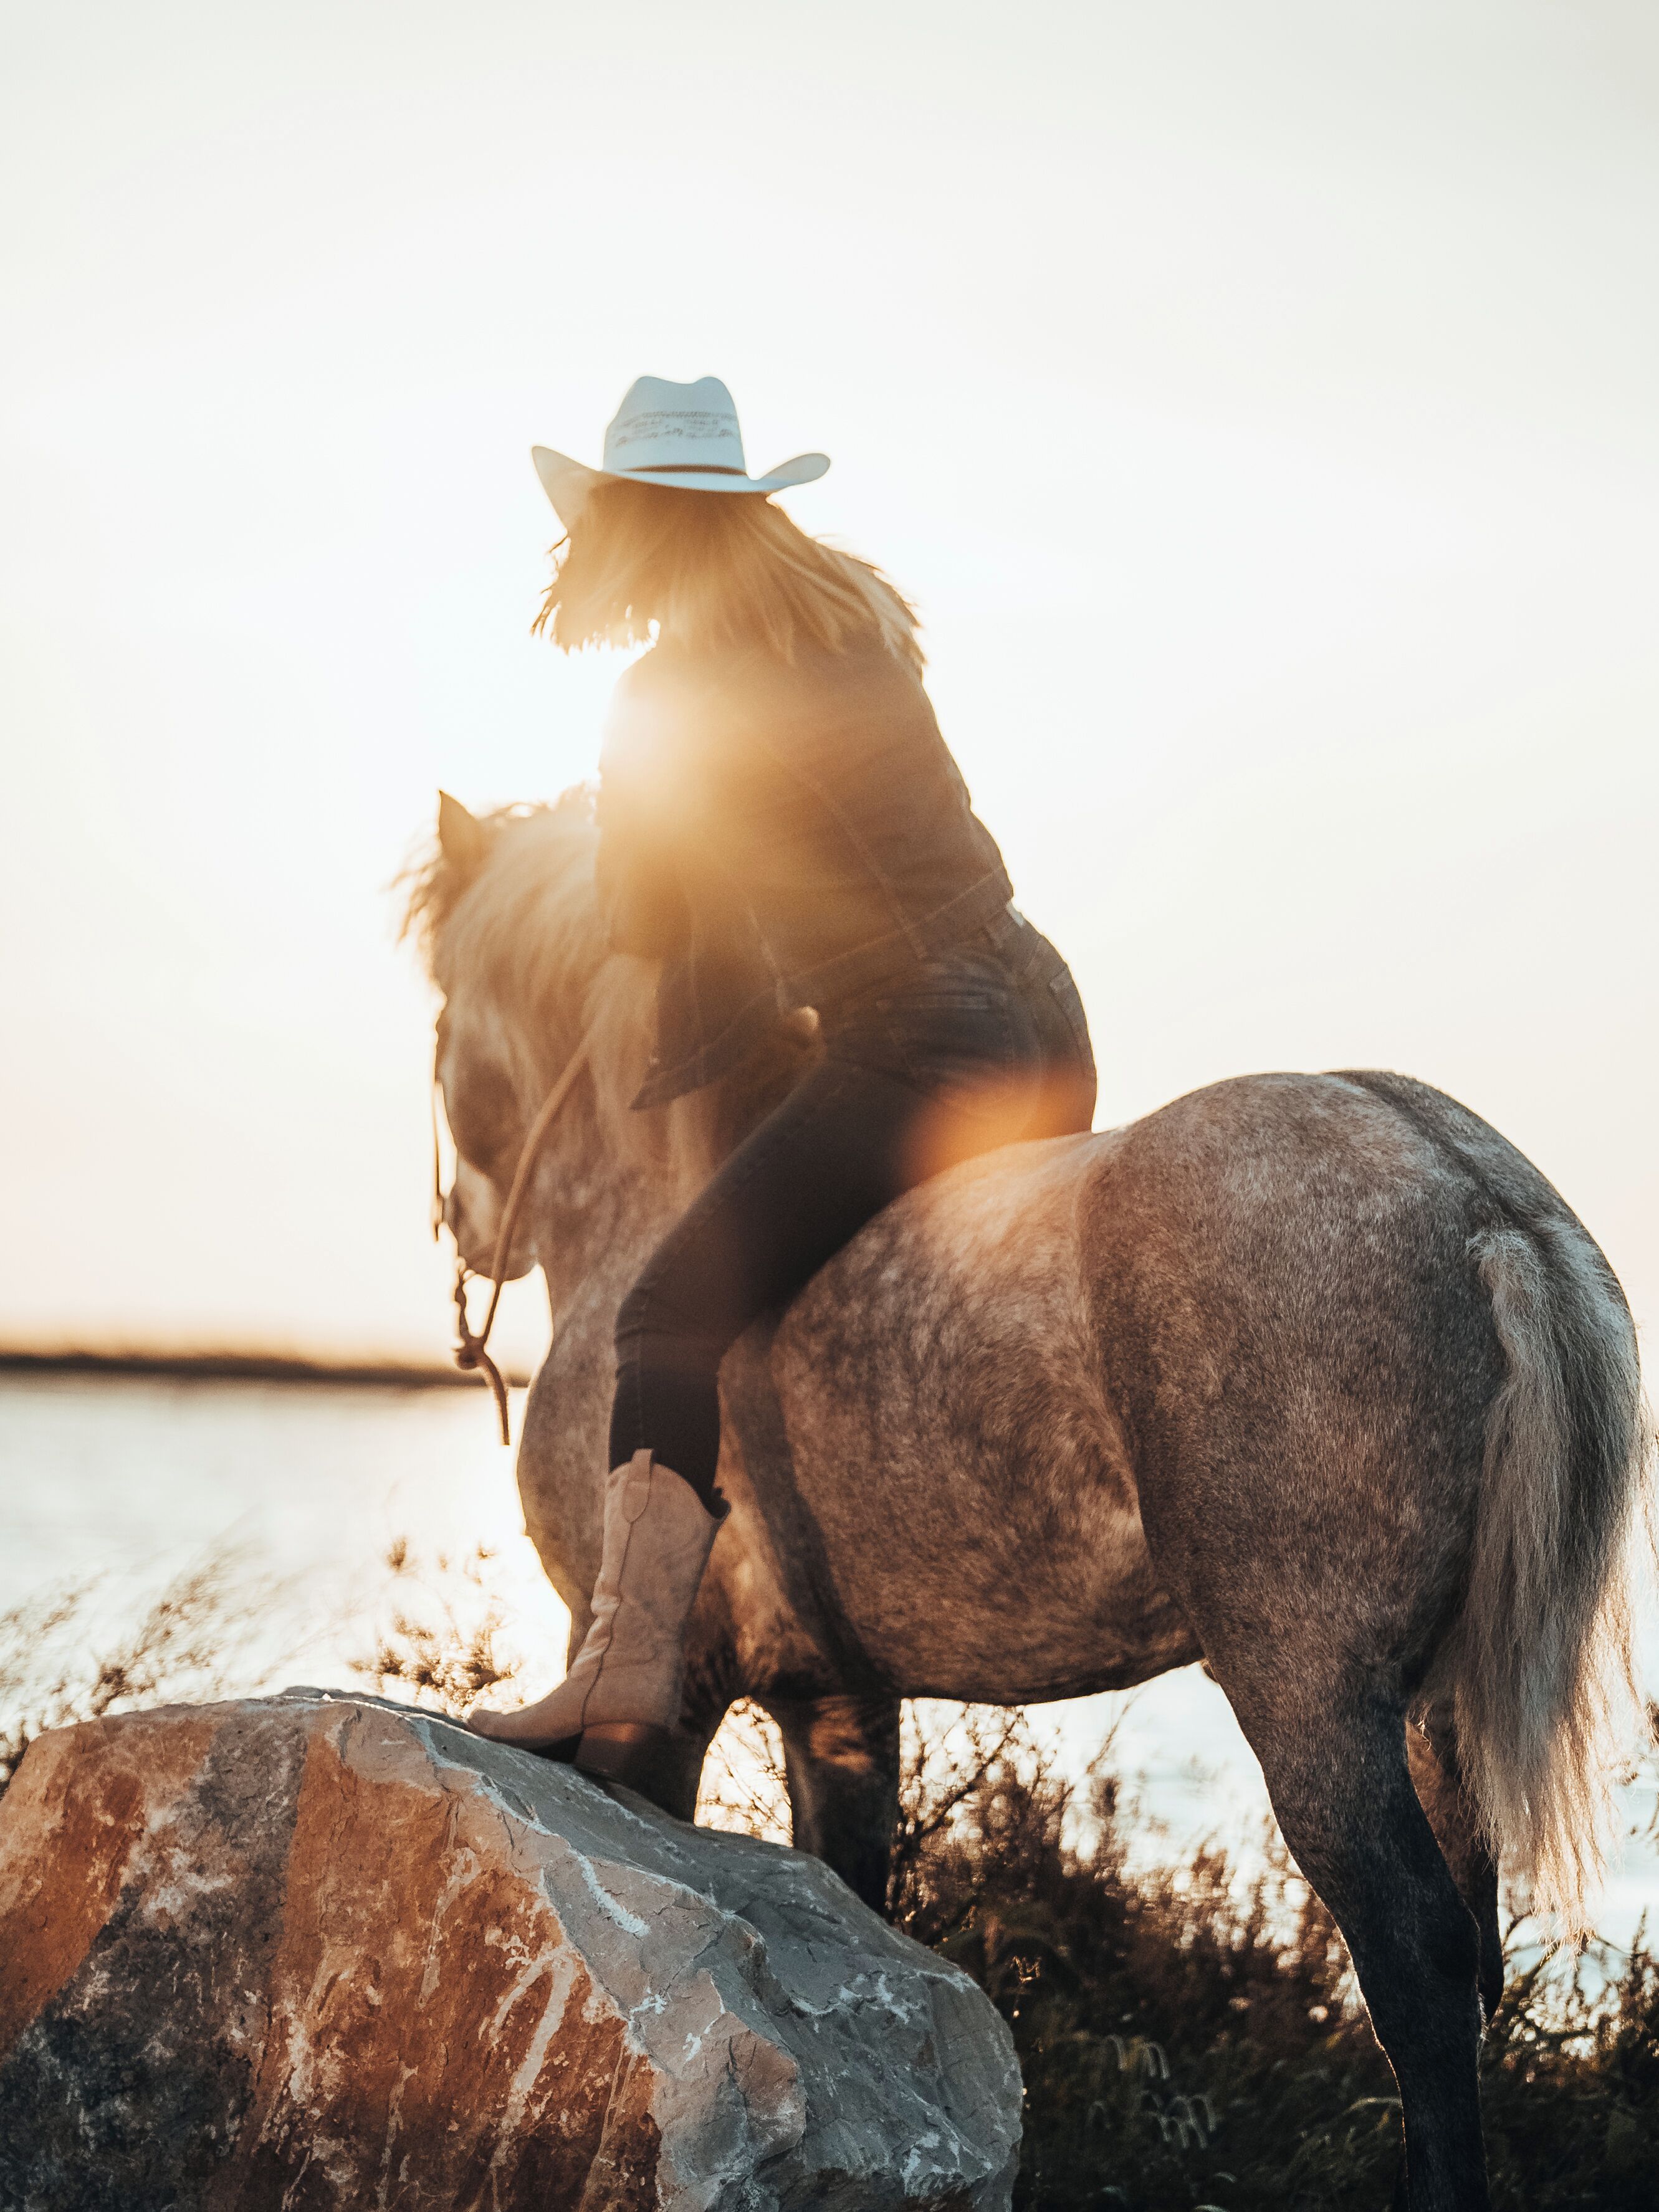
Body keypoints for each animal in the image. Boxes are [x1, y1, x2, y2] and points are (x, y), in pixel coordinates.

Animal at [406, 788, 1649, 2212]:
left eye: (442, 1024)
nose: (469, 1228)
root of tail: (1472, 1188)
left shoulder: (663, 1701)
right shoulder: (835, 1701)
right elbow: (849, 1895)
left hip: (1314, 1700)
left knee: (1416, 1964)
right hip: (1436, 1711)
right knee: (1472, 1959)